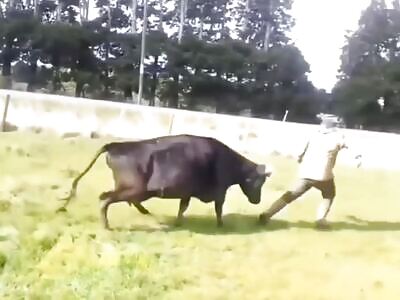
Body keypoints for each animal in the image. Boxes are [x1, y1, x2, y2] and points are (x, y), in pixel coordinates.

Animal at [59, 135, 272, 229]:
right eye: (259, 182)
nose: (257, 201)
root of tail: (115, 145)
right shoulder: (220, 192)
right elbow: (219, 209)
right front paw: (221, 225)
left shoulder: (187, 192)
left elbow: (183, 207)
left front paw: (178, 222)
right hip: (133, 188)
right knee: (105, 199)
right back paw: (106, 225)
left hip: (134, 189)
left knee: (114, 198)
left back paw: (145, 213)